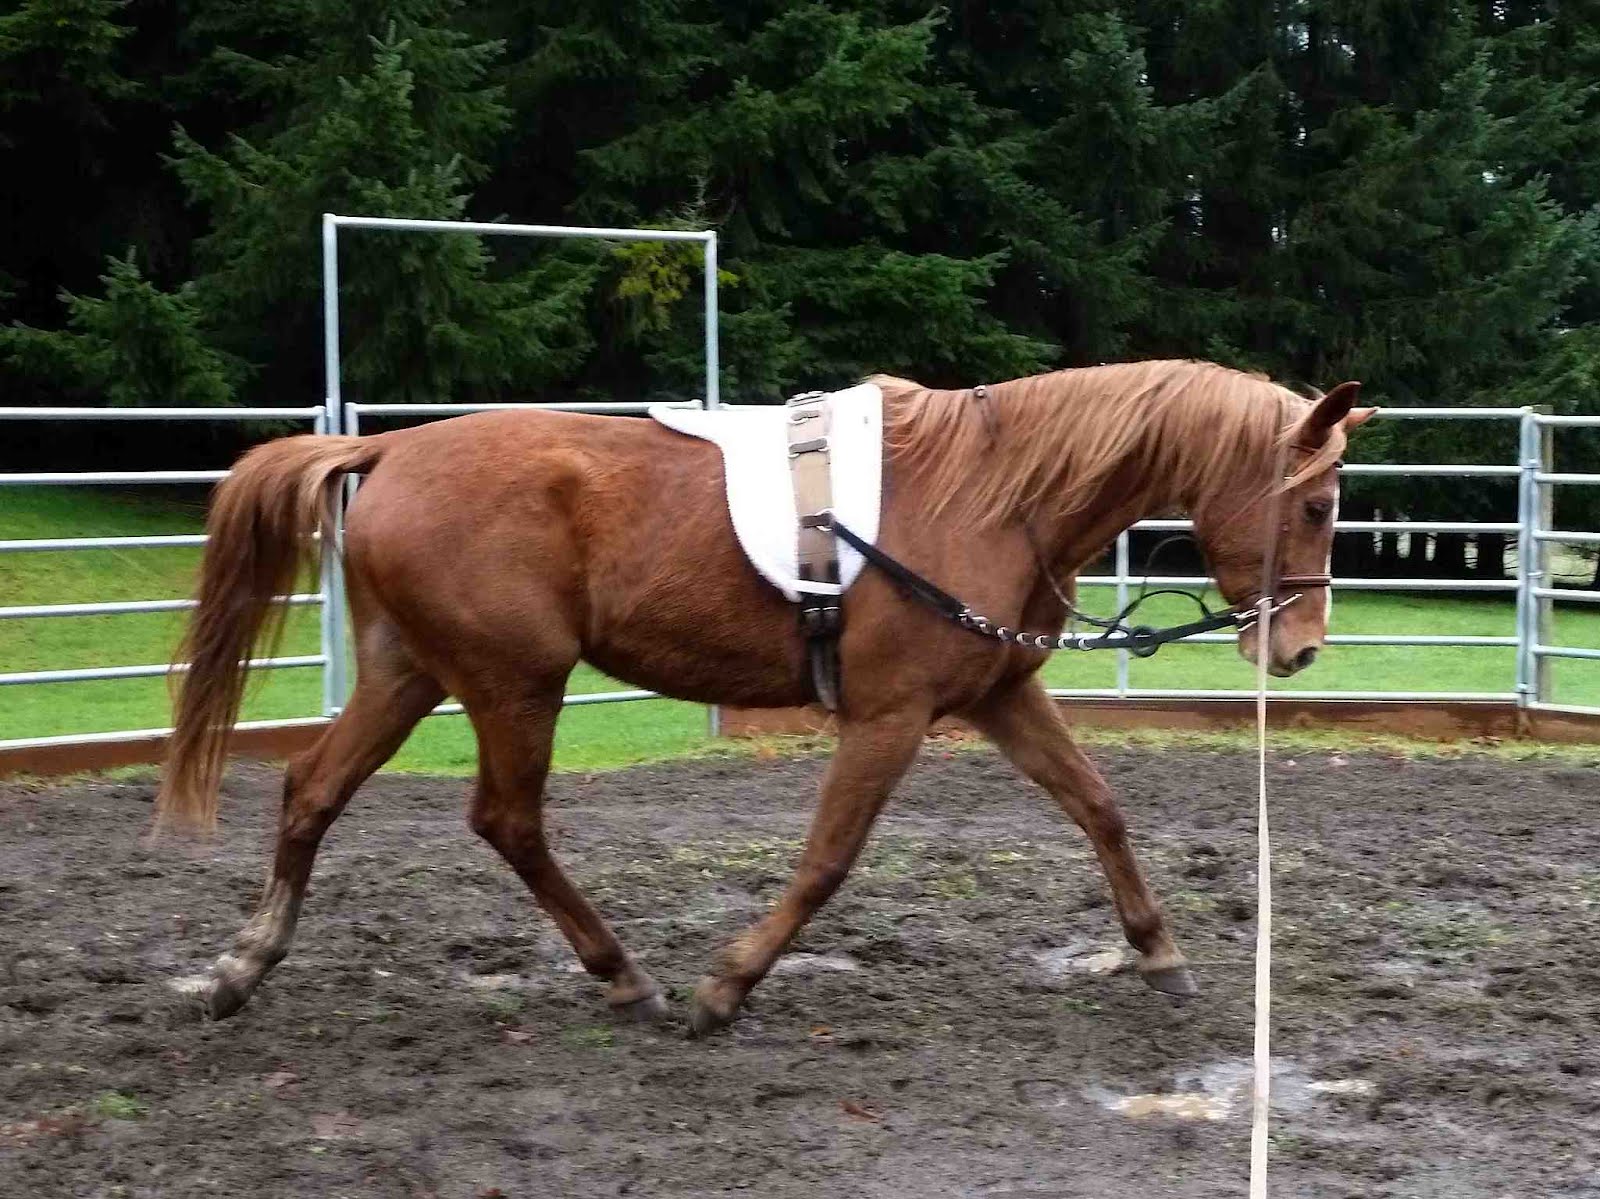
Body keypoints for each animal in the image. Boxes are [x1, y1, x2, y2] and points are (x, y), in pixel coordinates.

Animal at [156, 358, 1371, 1035]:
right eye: (1315, 505)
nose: (1303, 648)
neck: (994, 492)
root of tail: (390, 449)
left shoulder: (999, 696)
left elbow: (1100, 808)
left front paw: (1158, 951)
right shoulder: (888, 718)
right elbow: (827, 860)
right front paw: (726, 987)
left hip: (412, 672)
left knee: (312, 791)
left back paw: (241, 967)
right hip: (513, 685)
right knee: (506, 820)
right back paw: (626, 977)